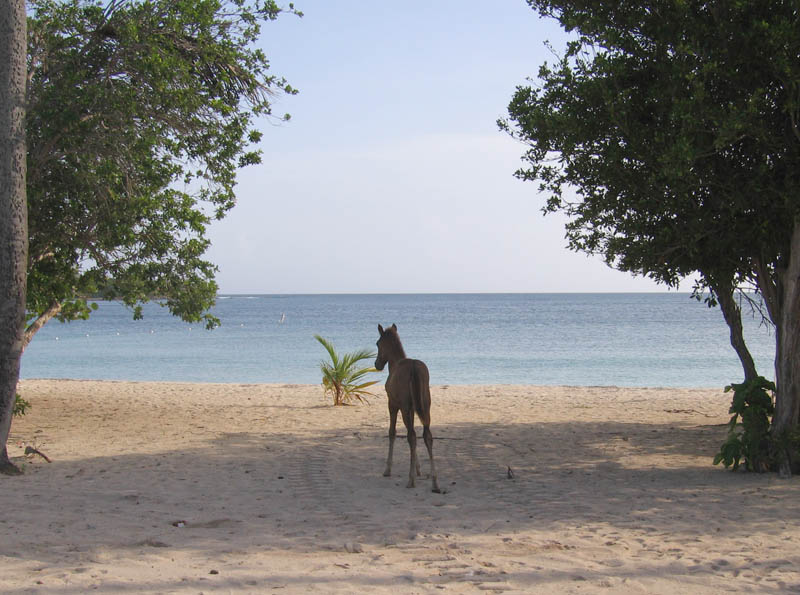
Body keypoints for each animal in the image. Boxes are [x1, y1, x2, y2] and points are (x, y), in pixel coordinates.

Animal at [374, 328, 440, 492]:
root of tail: (414, 368)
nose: (377, 364)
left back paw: (411, 480)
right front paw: (418, 468)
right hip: (425, 407)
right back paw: (435, 482)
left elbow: (392, 433)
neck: (394, 364)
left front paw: (388, 469)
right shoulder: (413, 409)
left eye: (377, 343)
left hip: (404, 407)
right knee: (427, 436)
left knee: (411, 435)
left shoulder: (393, 404)